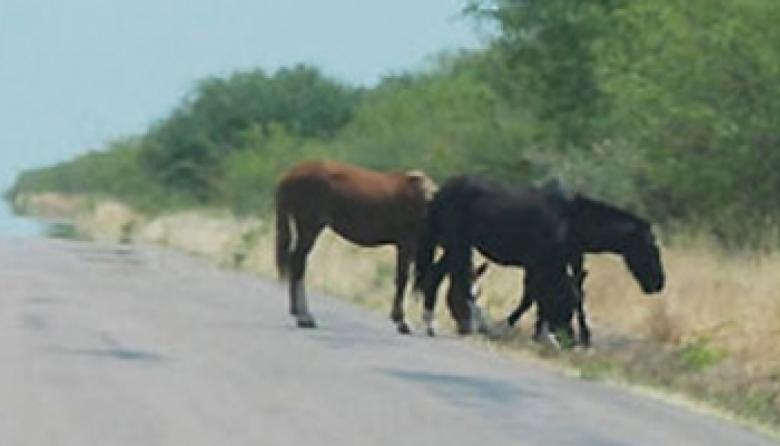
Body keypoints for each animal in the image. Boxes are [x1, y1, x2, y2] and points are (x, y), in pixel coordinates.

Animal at [274, 159, 436, 332]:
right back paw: (304, 316)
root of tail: (289, 175)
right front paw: (401, 320)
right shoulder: (407, 244)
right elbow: (402, 279)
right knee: (297, 262)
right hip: (309, 226)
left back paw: (298, 312)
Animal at [414, 176, 664, 344]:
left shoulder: (554, 265)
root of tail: (439, 193)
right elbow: (536, 297)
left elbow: (557, 296)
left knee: (436, 277)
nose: (658, 283)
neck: (570, 220)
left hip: (454, 247)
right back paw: (473, 324)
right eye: (650, 247)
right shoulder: (539, 264)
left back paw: (431, 323)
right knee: (458, 282)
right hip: (458, 244)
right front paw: (519, 329)